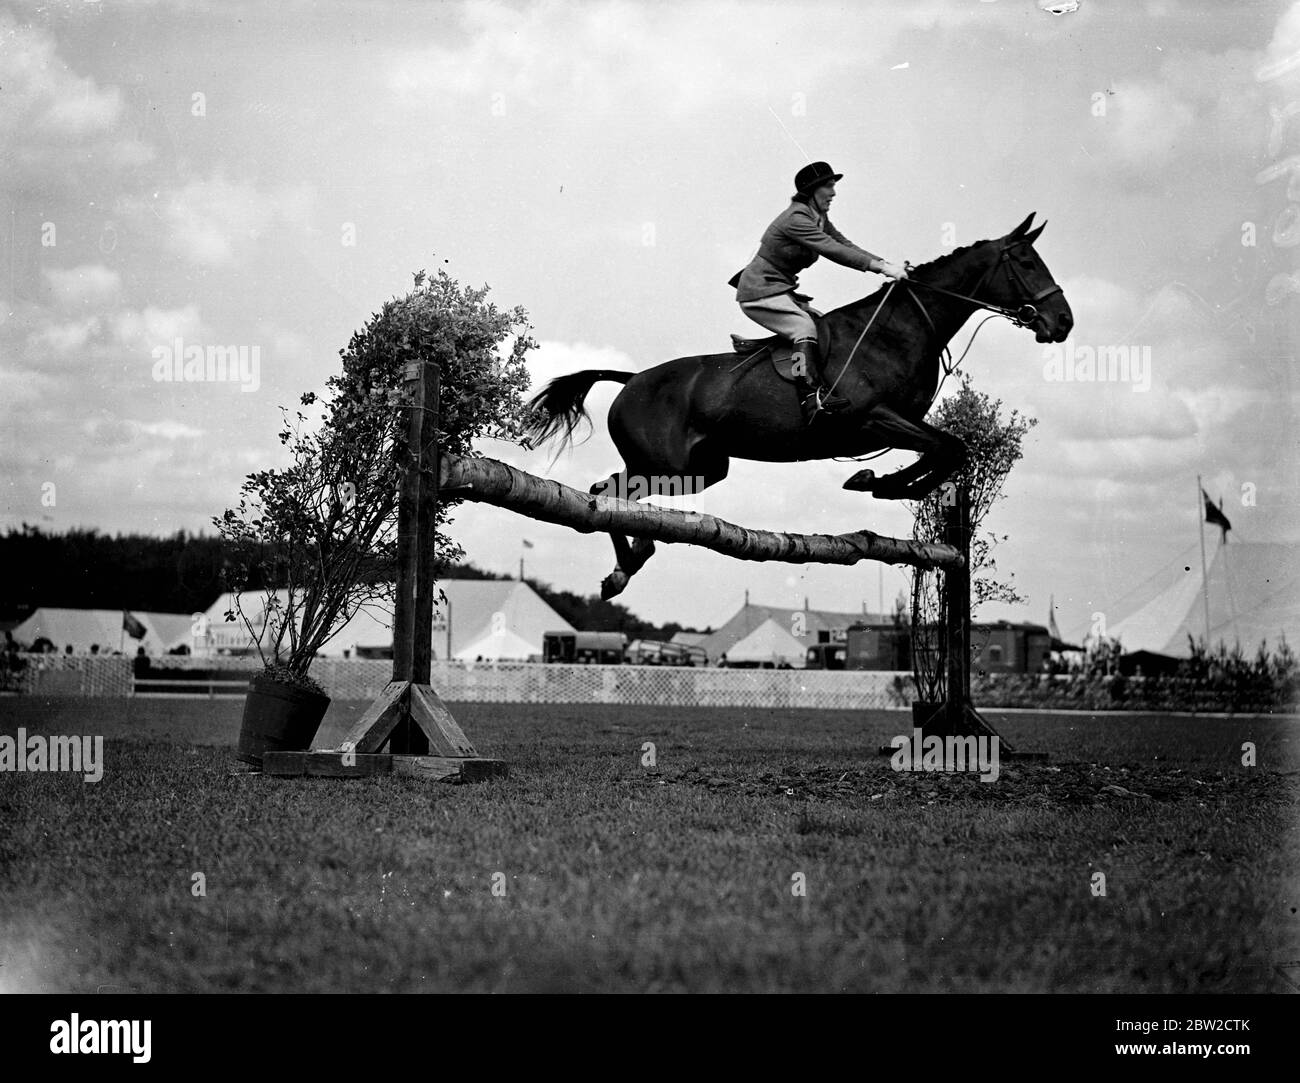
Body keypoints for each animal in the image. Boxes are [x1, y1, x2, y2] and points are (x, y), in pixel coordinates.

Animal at [522, 210, 1071, 600]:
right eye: (1025, 263)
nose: (1062, 323)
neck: (899, 331)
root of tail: (633, 379)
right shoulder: (869, 419)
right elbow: (947, 448)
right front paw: (878, 483)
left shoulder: (900, 422)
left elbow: (948, 449)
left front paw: (878, 482)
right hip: (666, 463)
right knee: (605, 495)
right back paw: (624, 569)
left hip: (699, 469)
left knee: (617, 498)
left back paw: (631, 560)